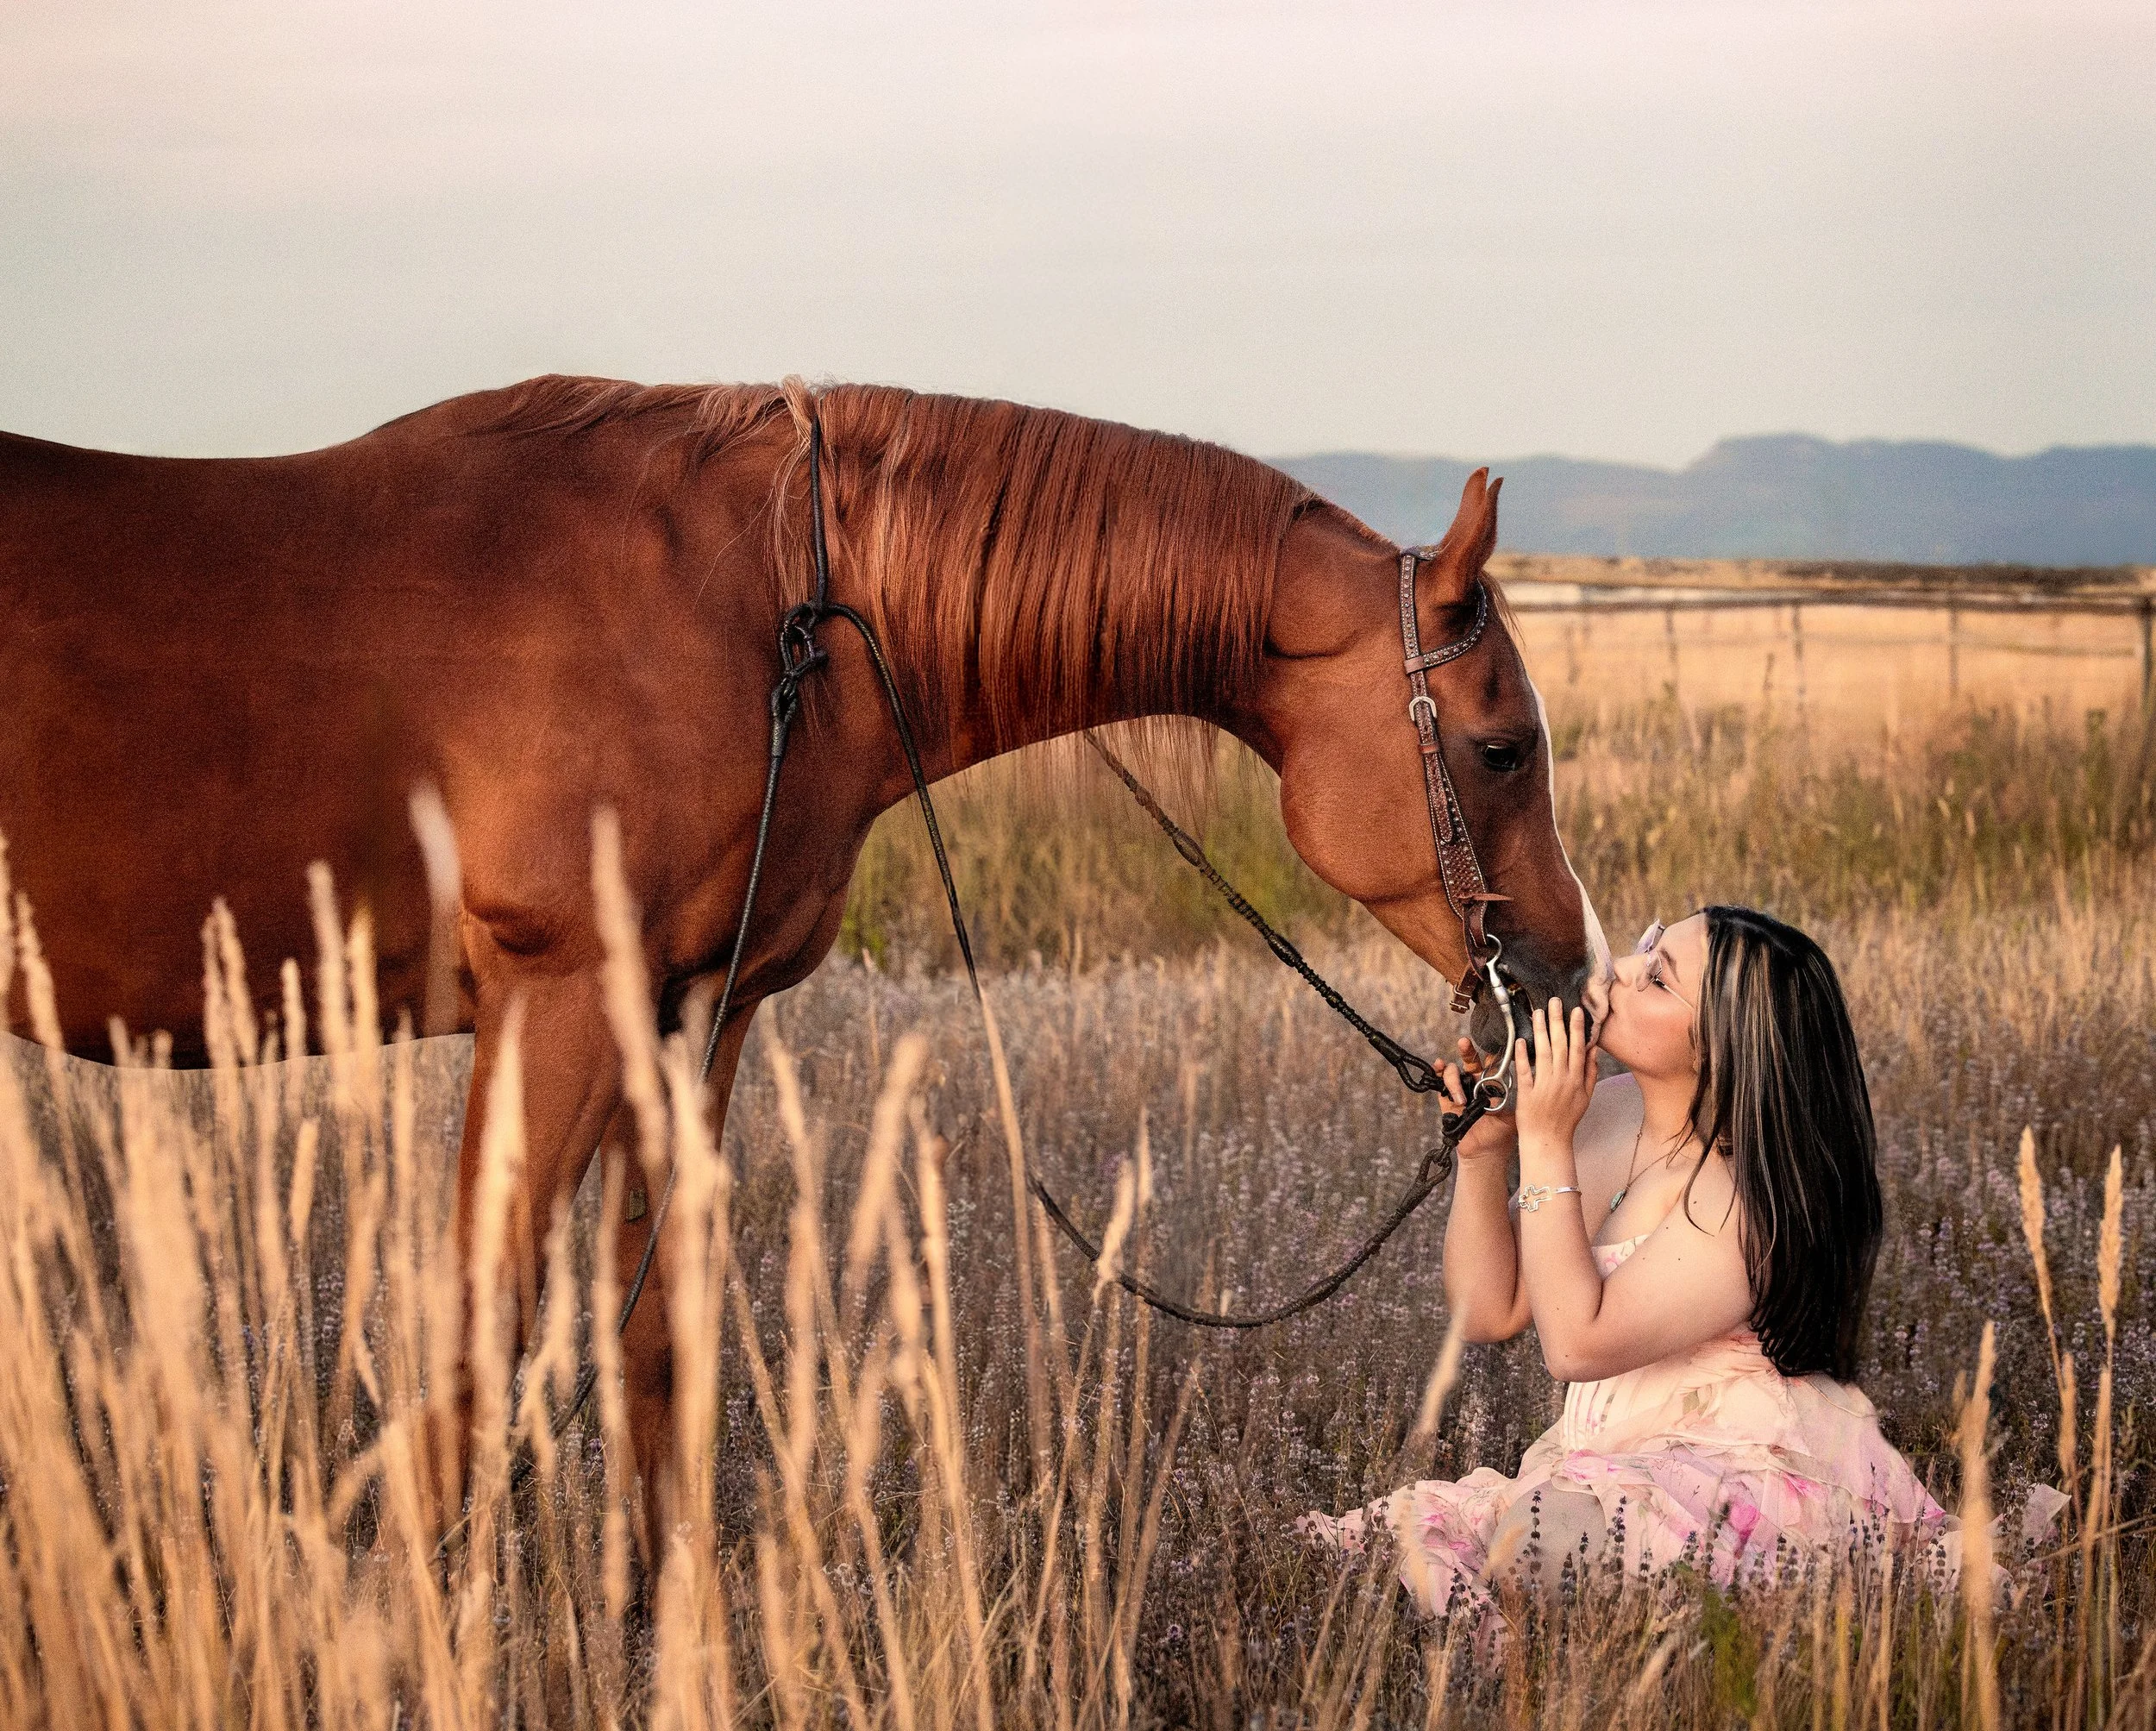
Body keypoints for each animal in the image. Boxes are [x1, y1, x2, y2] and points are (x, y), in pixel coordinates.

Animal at [0, 374, 1607, 1510]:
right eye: (1504, 745)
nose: (1562, 979)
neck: (776, 611)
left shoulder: (687, 1020)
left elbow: (660, 1351)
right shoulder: (556, 1005)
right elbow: (472, 1356)